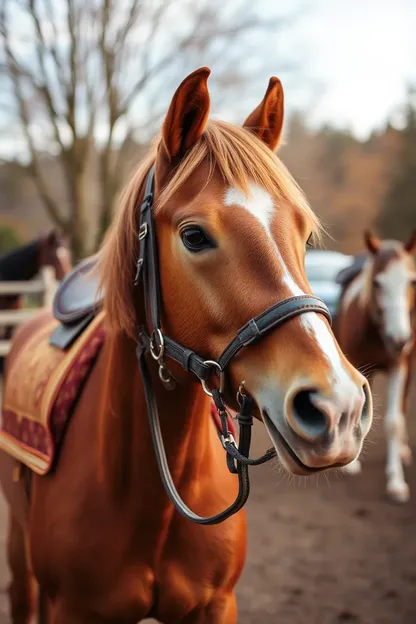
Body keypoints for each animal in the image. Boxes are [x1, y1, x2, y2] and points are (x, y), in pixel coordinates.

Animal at [336, 232, 414, 504]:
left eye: (411, 281)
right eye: (378, 284)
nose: (399, 339)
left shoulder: (398, 366)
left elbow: (394, 422)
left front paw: (397, 483)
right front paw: (350, 464)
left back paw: (403, 450)